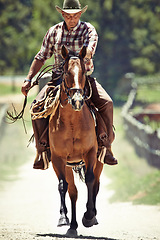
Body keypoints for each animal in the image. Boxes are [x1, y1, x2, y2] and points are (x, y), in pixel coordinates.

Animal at [49, 45, 103, 236]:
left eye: (84, 73)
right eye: (66, 73)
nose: (78, 101)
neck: (73, 122)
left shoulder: (91, 153)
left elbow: (90, 180)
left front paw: (89, 215)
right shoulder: (58, 158)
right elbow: (63, 186)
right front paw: (63, 218)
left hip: (99, 161)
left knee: (96, 184)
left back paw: (92, 216)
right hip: (68, 165)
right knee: (73, 191)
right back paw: (72, 226)